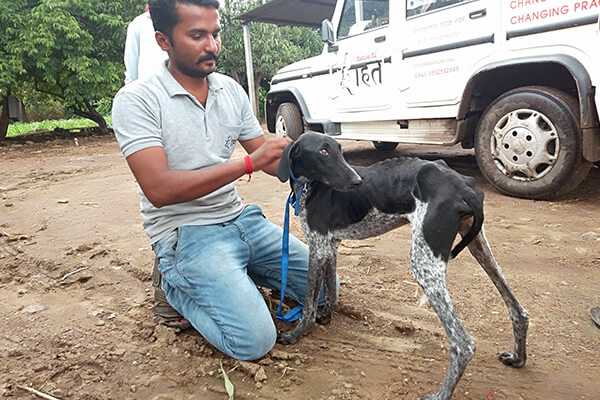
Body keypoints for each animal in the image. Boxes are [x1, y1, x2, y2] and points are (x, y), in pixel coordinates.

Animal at [276, 132, 528, 400]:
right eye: (323, 151)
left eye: (338, 149)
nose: (357, 181)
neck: (311, 186)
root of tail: (464, 186)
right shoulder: (329, 246)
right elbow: (330, 290)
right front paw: (326, 316)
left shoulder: (318, 248)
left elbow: (309, 304)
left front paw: (295, 334)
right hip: (479, 246)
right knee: (518, 310)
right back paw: (518, 357)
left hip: (424, 264)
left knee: (463, 344)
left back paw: (441, 394)